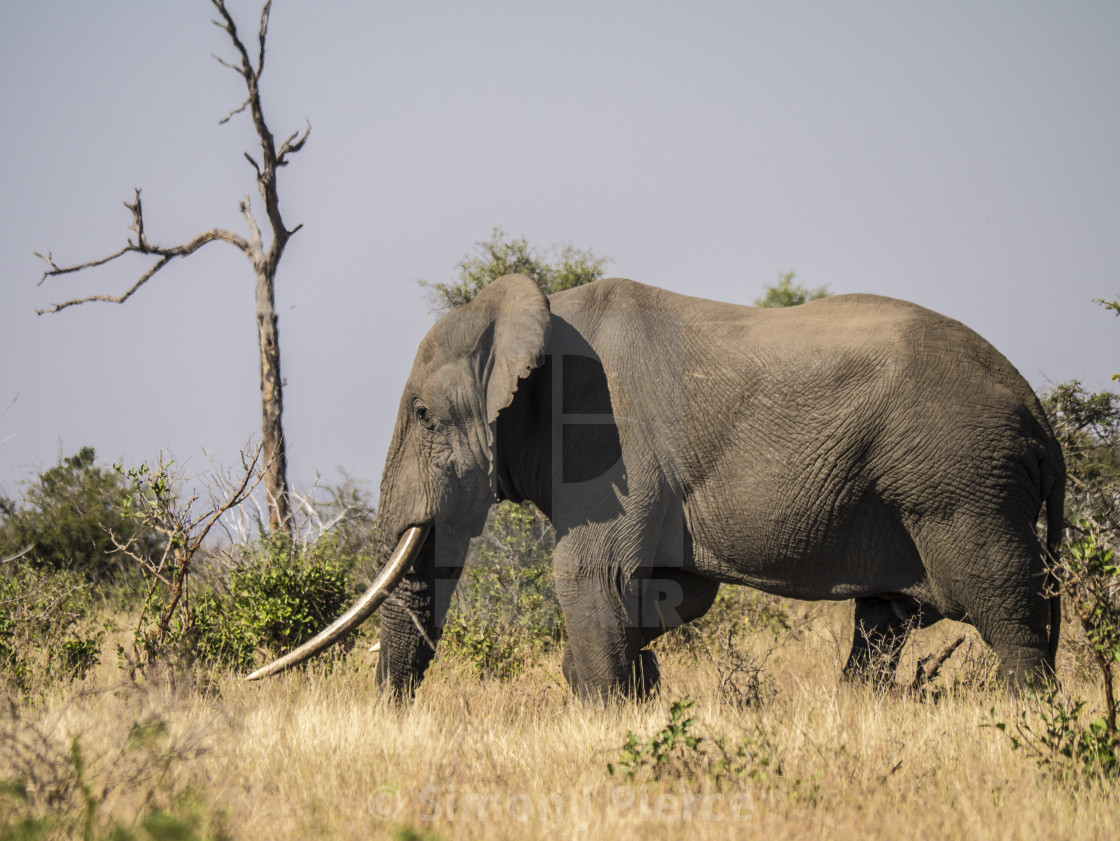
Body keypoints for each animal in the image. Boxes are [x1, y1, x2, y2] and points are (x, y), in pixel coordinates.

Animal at [249, 274, 1061, 698]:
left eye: (423, 415)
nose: (392, 718)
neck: (532, 311)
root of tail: (1036, 409)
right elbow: (669, 589)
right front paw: (635, 692)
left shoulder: (610, 441)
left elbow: (588, 571)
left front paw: (607, 709)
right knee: (888, 618)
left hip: (961, 480)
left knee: (1003, 603)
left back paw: (1024, 717)